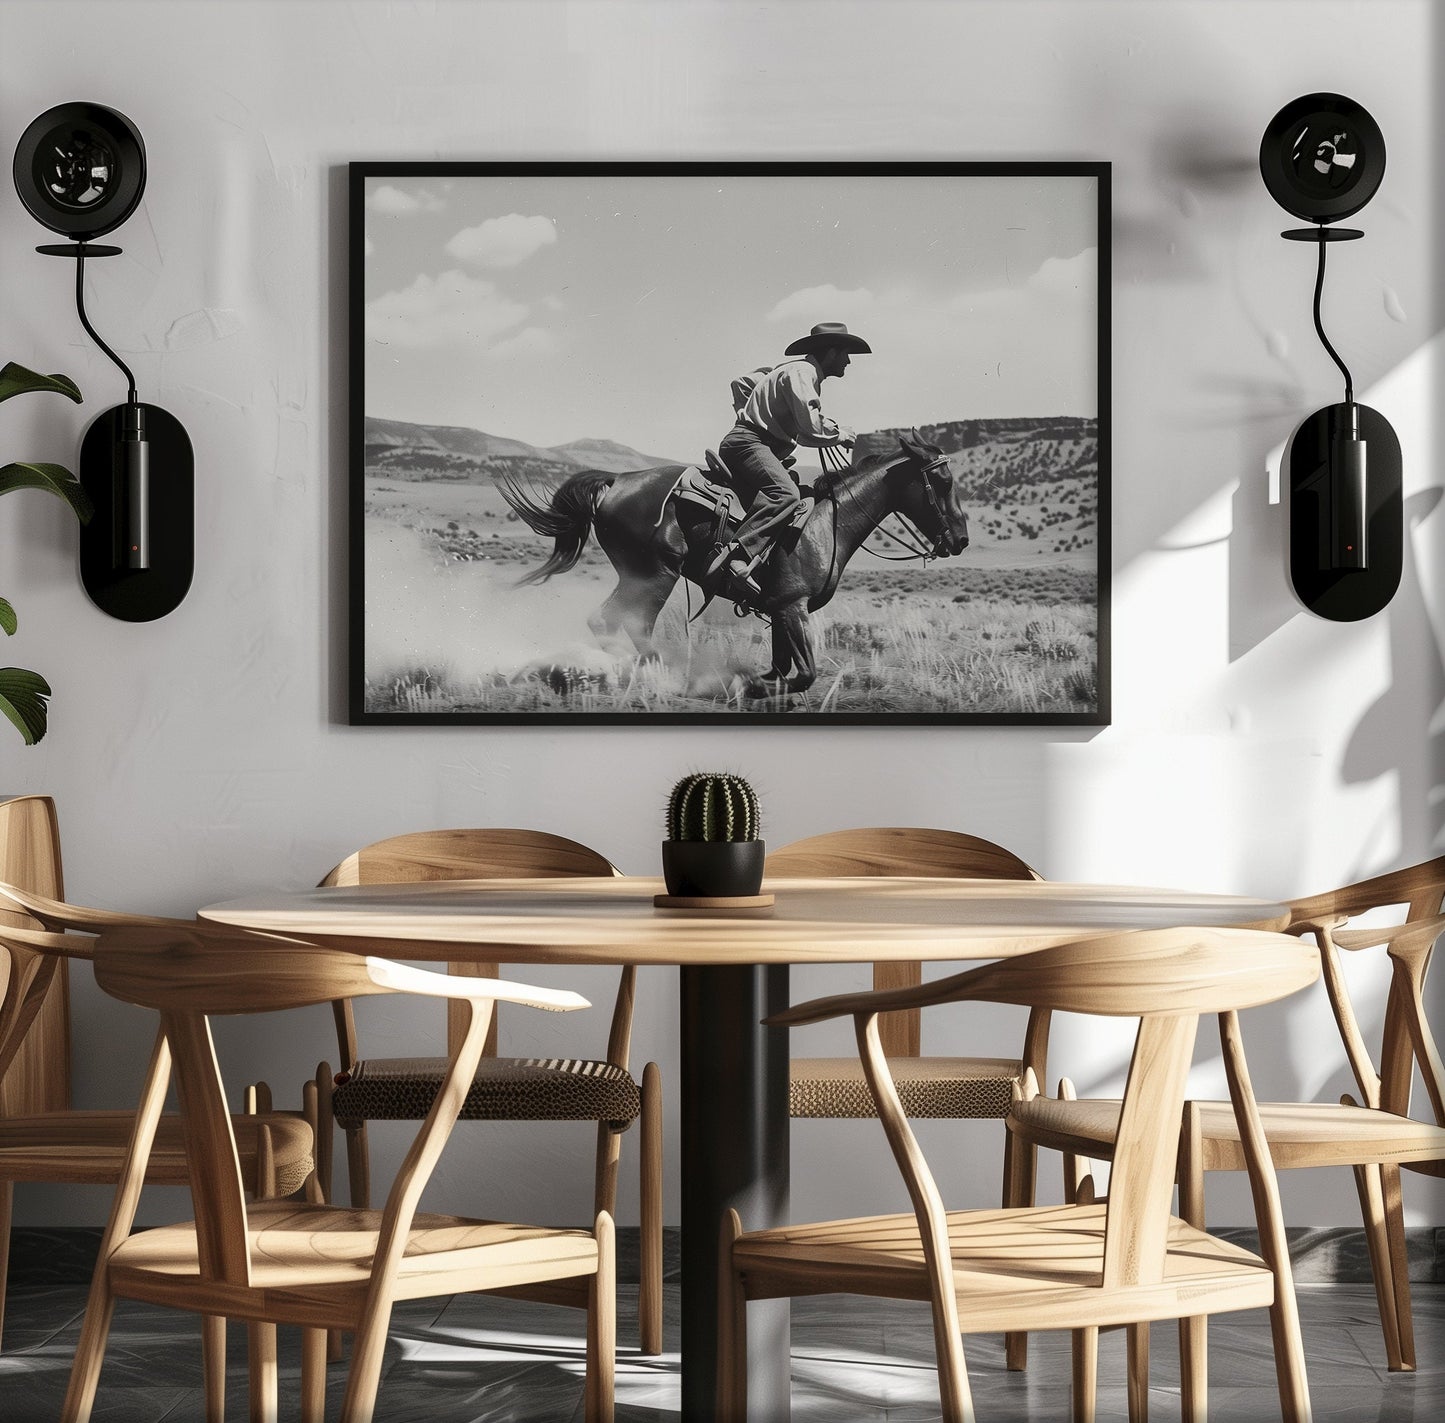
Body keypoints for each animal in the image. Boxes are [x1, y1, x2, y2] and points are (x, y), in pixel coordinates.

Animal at [499, 433, 971, 699]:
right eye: (943, 480)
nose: (961, 540)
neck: (828, 523)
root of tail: (617, 481)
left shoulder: (780, 610)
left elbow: (783, 667)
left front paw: (757, 682)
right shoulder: (793, 607)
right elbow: (803, 674)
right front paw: (750, 685)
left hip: (644, 574)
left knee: (610, 622)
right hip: (655, 573)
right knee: (622, 621)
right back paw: (663, 675)